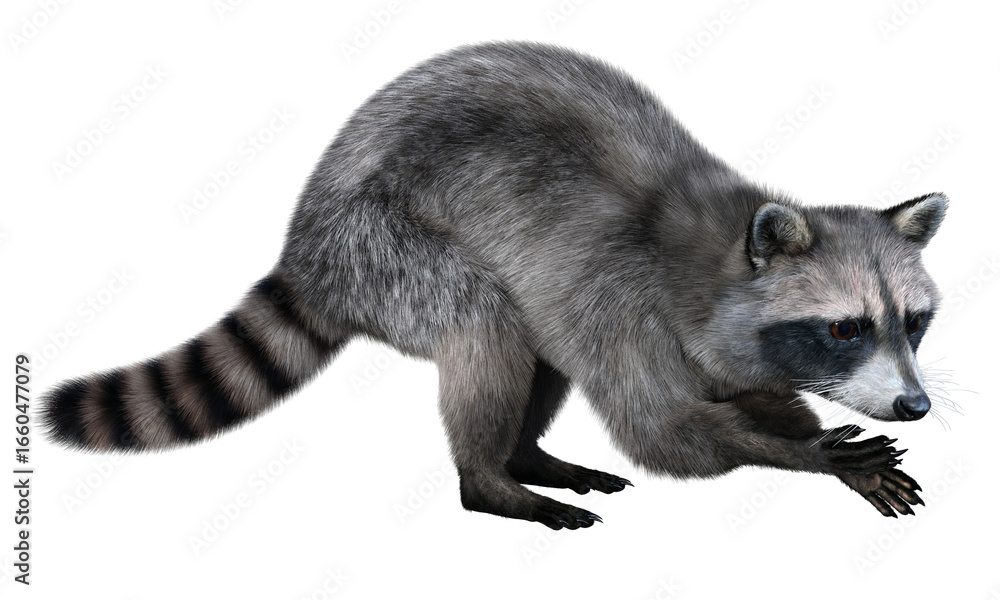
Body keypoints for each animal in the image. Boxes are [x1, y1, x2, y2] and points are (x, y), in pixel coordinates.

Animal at [41, 41, 947, 529]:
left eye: (913, 322)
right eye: (845, 328)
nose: (916, 406)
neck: (716, 256)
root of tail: (305, 243)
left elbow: (742, 394)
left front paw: (795, 423)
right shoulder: (622, 299)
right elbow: (663, 433)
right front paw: (811, 453)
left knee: (533, 348)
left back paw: (527, 456)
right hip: (381, 244)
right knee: (488, 329)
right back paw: (492, 479)